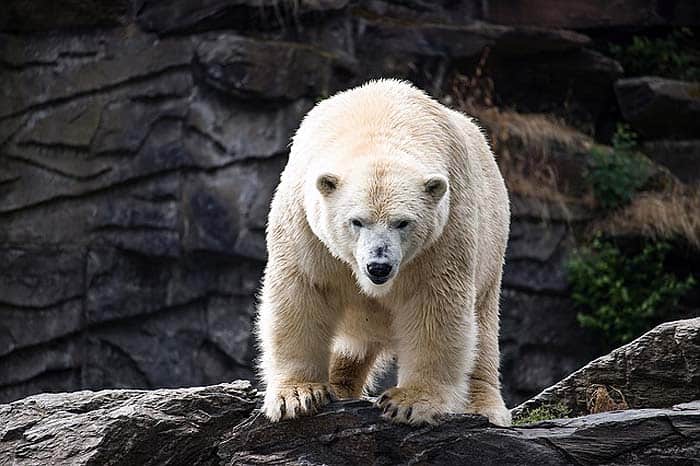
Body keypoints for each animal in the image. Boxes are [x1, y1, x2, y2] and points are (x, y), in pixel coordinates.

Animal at [254, 78, 512, 424]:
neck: (378, 120)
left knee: (482, 331)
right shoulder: (305, 226)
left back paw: (484, 407)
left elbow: (435, 305)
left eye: (402, 222)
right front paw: (297, 396)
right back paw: (339, 384)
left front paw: (410, 402)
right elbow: (301, 293)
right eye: (356, 221)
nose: (379, 266)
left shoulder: (444, 231)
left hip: (491, 250)